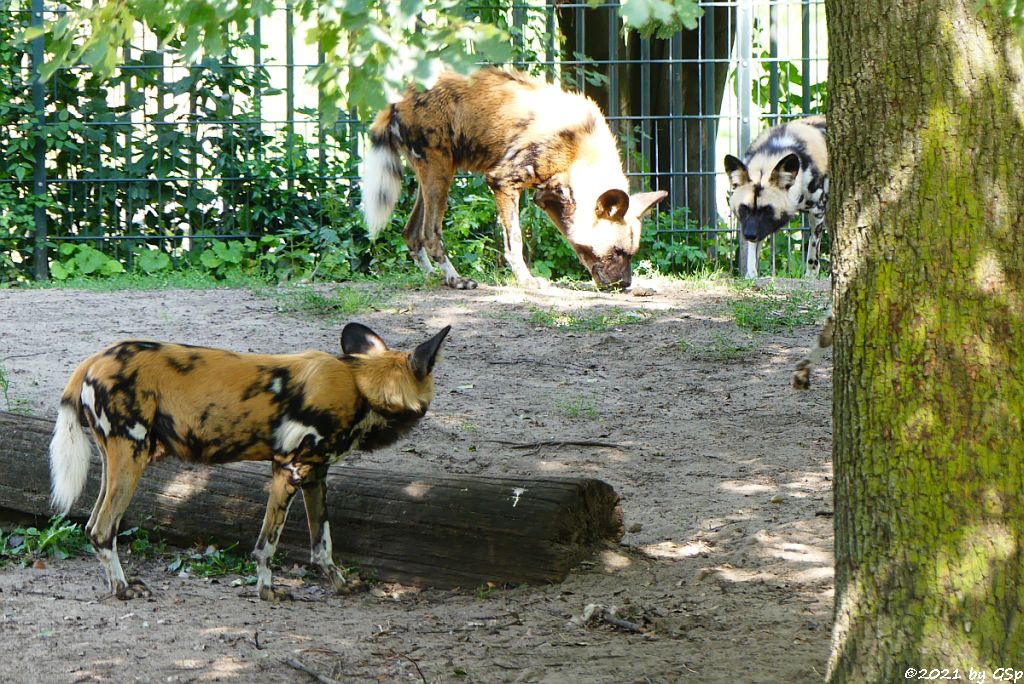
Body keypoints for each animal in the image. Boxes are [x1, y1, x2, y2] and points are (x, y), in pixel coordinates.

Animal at [48, 323, 448, 602]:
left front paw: (340, 585)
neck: (361, 386)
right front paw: (268, 592)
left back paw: (117, 584)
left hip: (117, 461)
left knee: (91, 526)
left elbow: (323, 546)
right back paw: (122, 590)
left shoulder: (316, 476)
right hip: (132, 458)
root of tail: (94, 358)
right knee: (103, 530)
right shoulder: (289, 471)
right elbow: (267, 545)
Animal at [364, 68, 667, 290]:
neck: (581, 150)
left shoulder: (549, 198)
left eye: (631, 254)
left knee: (411, 234)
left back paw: (432, 277)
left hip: (434, 174)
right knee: (430, 234)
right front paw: (526, 281)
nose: (624, 284)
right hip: (440, 173)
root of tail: (397, 98)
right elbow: (516, 241)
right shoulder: (503, 181)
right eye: (617, 252)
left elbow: (576, 244)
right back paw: (455, 279)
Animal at [724, 114, 827, 278]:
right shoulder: (752, 226)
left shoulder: (817, 211)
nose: (749, 235)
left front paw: (811, 275)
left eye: (766, 209)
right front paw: (751, 274)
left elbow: (813, 246)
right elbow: (753, 251)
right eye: (744, 208)